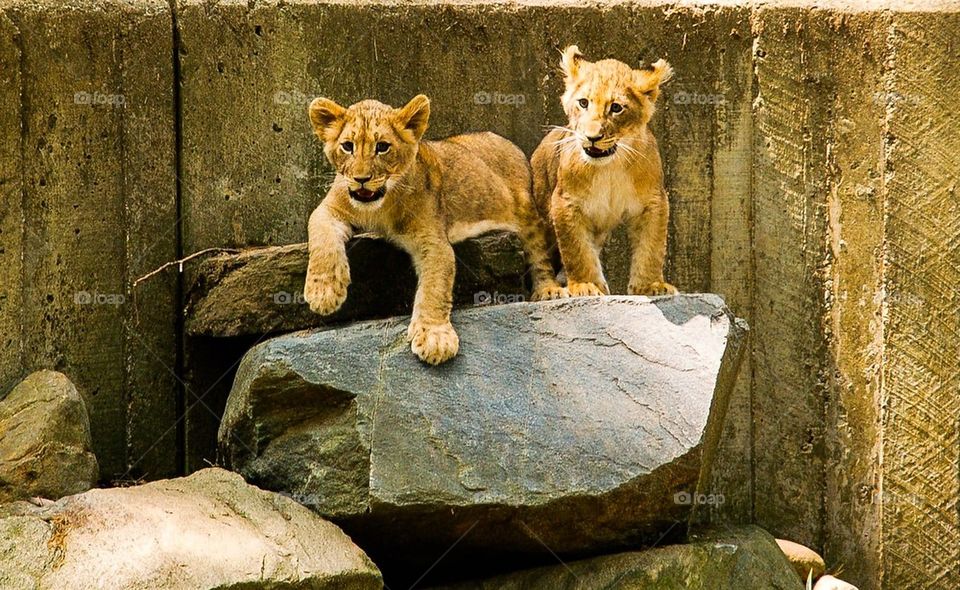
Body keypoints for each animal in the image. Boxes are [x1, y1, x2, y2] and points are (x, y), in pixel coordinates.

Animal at [303, 95, 565, 365]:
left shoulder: (433, 241)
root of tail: (505, 140)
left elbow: (434, 287)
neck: (379, 208)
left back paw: (548, 290)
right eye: (347, 146)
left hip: (527, 212)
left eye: (382, 147)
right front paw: (323, 292)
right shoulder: (329, 209)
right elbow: (321, 239)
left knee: (538, 252)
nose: (361, 179)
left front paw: (435, 338)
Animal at [531, 45, 677, 297]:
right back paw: (549, 290)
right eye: (583, 103)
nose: (592, 137)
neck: (610, 166)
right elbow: (577, 251)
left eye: (616, 108)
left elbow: (651, 247)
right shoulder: (565, 202)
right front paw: (585, 285)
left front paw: (650, 285)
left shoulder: (654, 201)